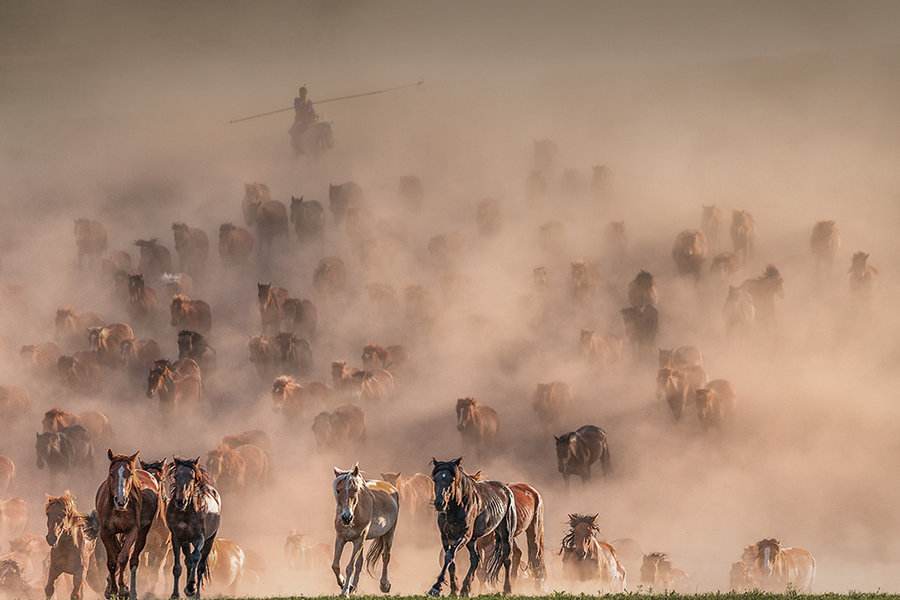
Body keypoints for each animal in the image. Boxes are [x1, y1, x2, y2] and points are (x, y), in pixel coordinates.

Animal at [95, 450, 160, 600]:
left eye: (129, 474)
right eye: (111, 473)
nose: (121, 501)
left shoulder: (132, 531)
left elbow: (123, 558)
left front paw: (123, 589)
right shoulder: (106, 533)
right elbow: (112, 562)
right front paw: (112, 589)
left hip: (142, 532)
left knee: (133, 559)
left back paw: (132, 592)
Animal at [330, 464, 398, 596]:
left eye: (355, 490)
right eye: (338, 490)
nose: (346, 517)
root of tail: (390, 487)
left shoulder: (358, 540)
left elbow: (350, 567)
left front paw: (344, 592)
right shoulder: (340, 538)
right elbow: (335, 565)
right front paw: (343, 584)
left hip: (389, 533)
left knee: (386, 556)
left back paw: (384, 585)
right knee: (360, 563)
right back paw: (353, 587)